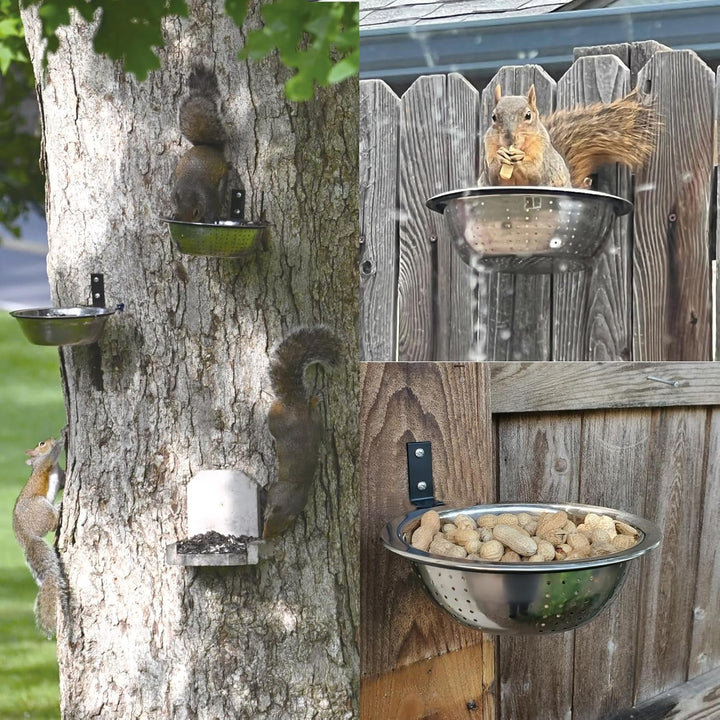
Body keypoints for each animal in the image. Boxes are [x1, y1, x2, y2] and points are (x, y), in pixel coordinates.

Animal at [12, 437, 68, 638]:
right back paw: (59, 506)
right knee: (52, 523)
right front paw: (62, 438)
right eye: (41, 443)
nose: (50, 440)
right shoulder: (46, 464)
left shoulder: (61, 477)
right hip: (41, 506)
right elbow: (51, 456)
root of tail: (27, 537)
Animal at [173, 65, 229, 223]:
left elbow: (212, 208)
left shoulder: (210, 198)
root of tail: (207, 146)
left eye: (196, 212)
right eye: (178, 210)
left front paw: (210, 219)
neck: (189, 188)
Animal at [262, 326, 341, 539]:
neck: (293, 492)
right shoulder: (277, 489)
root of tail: (296, 406)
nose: (265, 538)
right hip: (292, 420)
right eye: (265, 519)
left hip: (294, 422)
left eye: (282, 528)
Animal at [480, 84, 658, 188]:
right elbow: (493, 177)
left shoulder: (543, 155)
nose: (509, 139)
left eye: (528, 115)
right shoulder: (488, 148)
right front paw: (501, 156)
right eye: (493, 117)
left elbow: (536, 173)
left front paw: (520, 158)